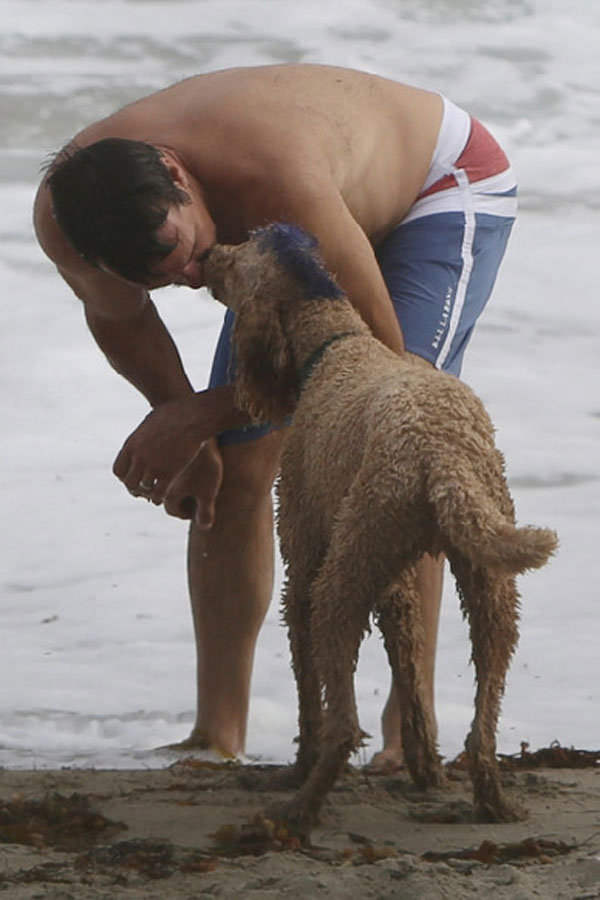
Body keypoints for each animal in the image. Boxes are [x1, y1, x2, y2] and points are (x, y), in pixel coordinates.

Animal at [205, 223, 556, 836]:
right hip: (483, 570)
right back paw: (492, 798)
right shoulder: (396, 584)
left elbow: (307, 690)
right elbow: (411, 678)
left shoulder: (303, 560)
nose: (208, 257)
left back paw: (298, 808)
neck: (336, 344)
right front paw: (425, 770)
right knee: (483, 716)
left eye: (237, 259)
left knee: (343, 721)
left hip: (340, 582)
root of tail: (441, 453)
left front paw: (297, 767)